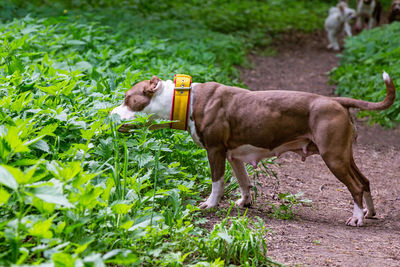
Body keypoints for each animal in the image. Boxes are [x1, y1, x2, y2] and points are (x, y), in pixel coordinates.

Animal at [111, 73, 396, 228]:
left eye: (128, 99)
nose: (110, 113)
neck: (185, 99)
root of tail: (336, 101)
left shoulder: (215, 151)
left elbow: (217, 182)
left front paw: (210, 205)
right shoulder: (233, 154)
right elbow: (243, 181)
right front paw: (245, 202)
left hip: (333, 157)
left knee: (355, 186)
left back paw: (357, 219)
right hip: (344, 155)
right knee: (365, 181)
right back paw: (369, 213)